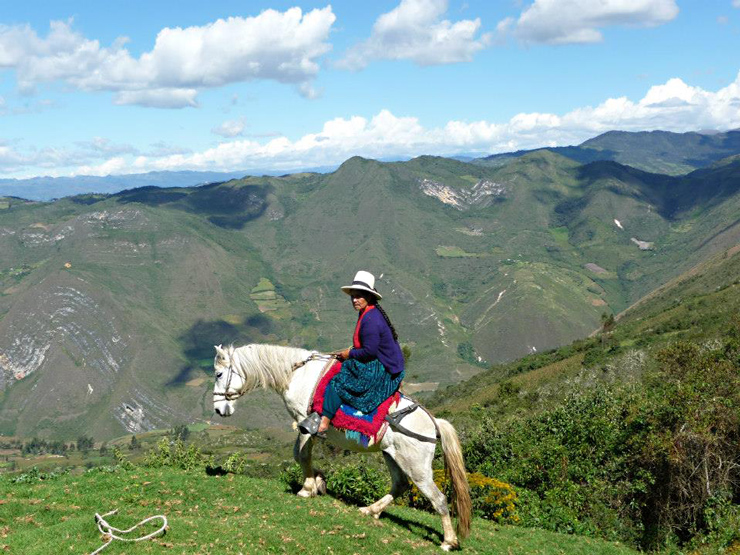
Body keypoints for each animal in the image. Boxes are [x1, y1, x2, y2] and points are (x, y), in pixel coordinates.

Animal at [211, 346, 472, 548]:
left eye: (219, 373)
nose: (218, 410)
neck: (298, 374)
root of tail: (433, 423)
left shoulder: (305, 422)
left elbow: (301, 455)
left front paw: (308, 487)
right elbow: (300, 456)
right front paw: (319, 481)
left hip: (416, 466)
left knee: (438, 499)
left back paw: (448, 541)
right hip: (392, 455)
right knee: (400, 485)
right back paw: (371, 510)